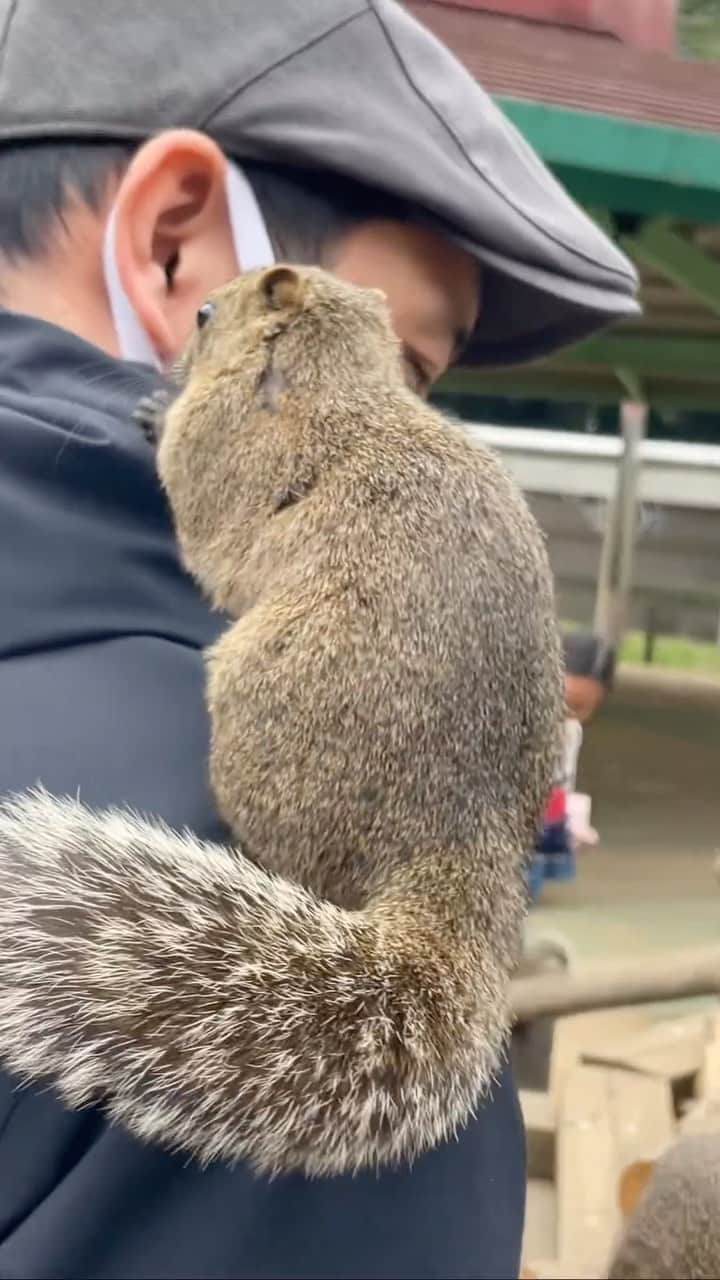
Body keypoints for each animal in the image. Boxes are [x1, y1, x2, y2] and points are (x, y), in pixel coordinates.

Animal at [0, 264, 561, 1172]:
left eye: (203, 312)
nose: (173, 356)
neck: (325, 370)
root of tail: (459, 834)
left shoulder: (217, 442)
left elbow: (188, 483)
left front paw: (154, 412)